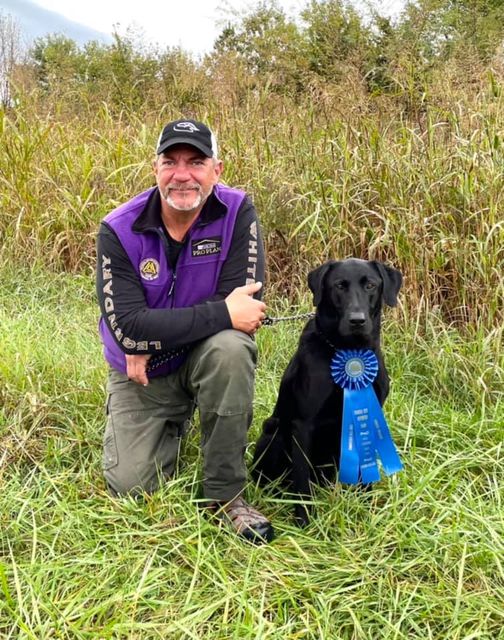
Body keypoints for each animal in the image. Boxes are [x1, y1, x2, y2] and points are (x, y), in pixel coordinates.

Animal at [252, 258, 402, 528]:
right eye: (339, 286)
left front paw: (366, 510)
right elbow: (302, 481)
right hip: (274, 431)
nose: (357, 320)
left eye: (371, 285)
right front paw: (304, 522)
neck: (347, 350)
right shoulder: (303, 425)